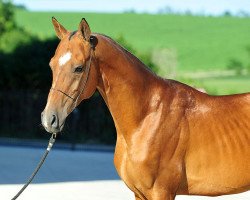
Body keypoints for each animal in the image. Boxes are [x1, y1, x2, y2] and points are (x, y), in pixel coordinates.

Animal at [41, 18, 250, 199]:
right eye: (51, 65)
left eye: (79, 68)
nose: (49, 118)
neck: (147, 117)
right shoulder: (139, 193)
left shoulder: (161, 192)